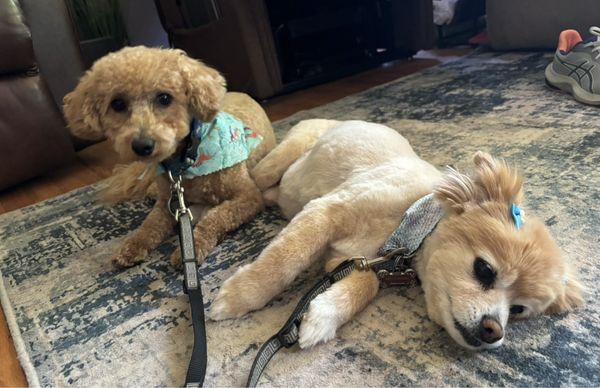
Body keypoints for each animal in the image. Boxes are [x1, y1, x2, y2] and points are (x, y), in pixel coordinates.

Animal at [62, 46, 274, 266]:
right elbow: (150, 224)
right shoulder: (168, 203)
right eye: (117, 104)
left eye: (164, 98)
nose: (142, 146)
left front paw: (194, 246)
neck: (185, 161)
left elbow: (217, 217)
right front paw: (133, 245)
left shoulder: (249, 196)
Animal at [207, 119, 580, 350]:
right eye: (484, 270)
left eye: (517, 310)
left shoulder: (348, 258)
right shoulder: (324, 212)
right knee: (255, 181)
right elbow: (284, 260)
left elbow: (366, 283)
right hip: (279, 161)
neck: (410, 222)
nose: (494, 332)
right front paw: (238, 297)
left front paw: (323, 316)